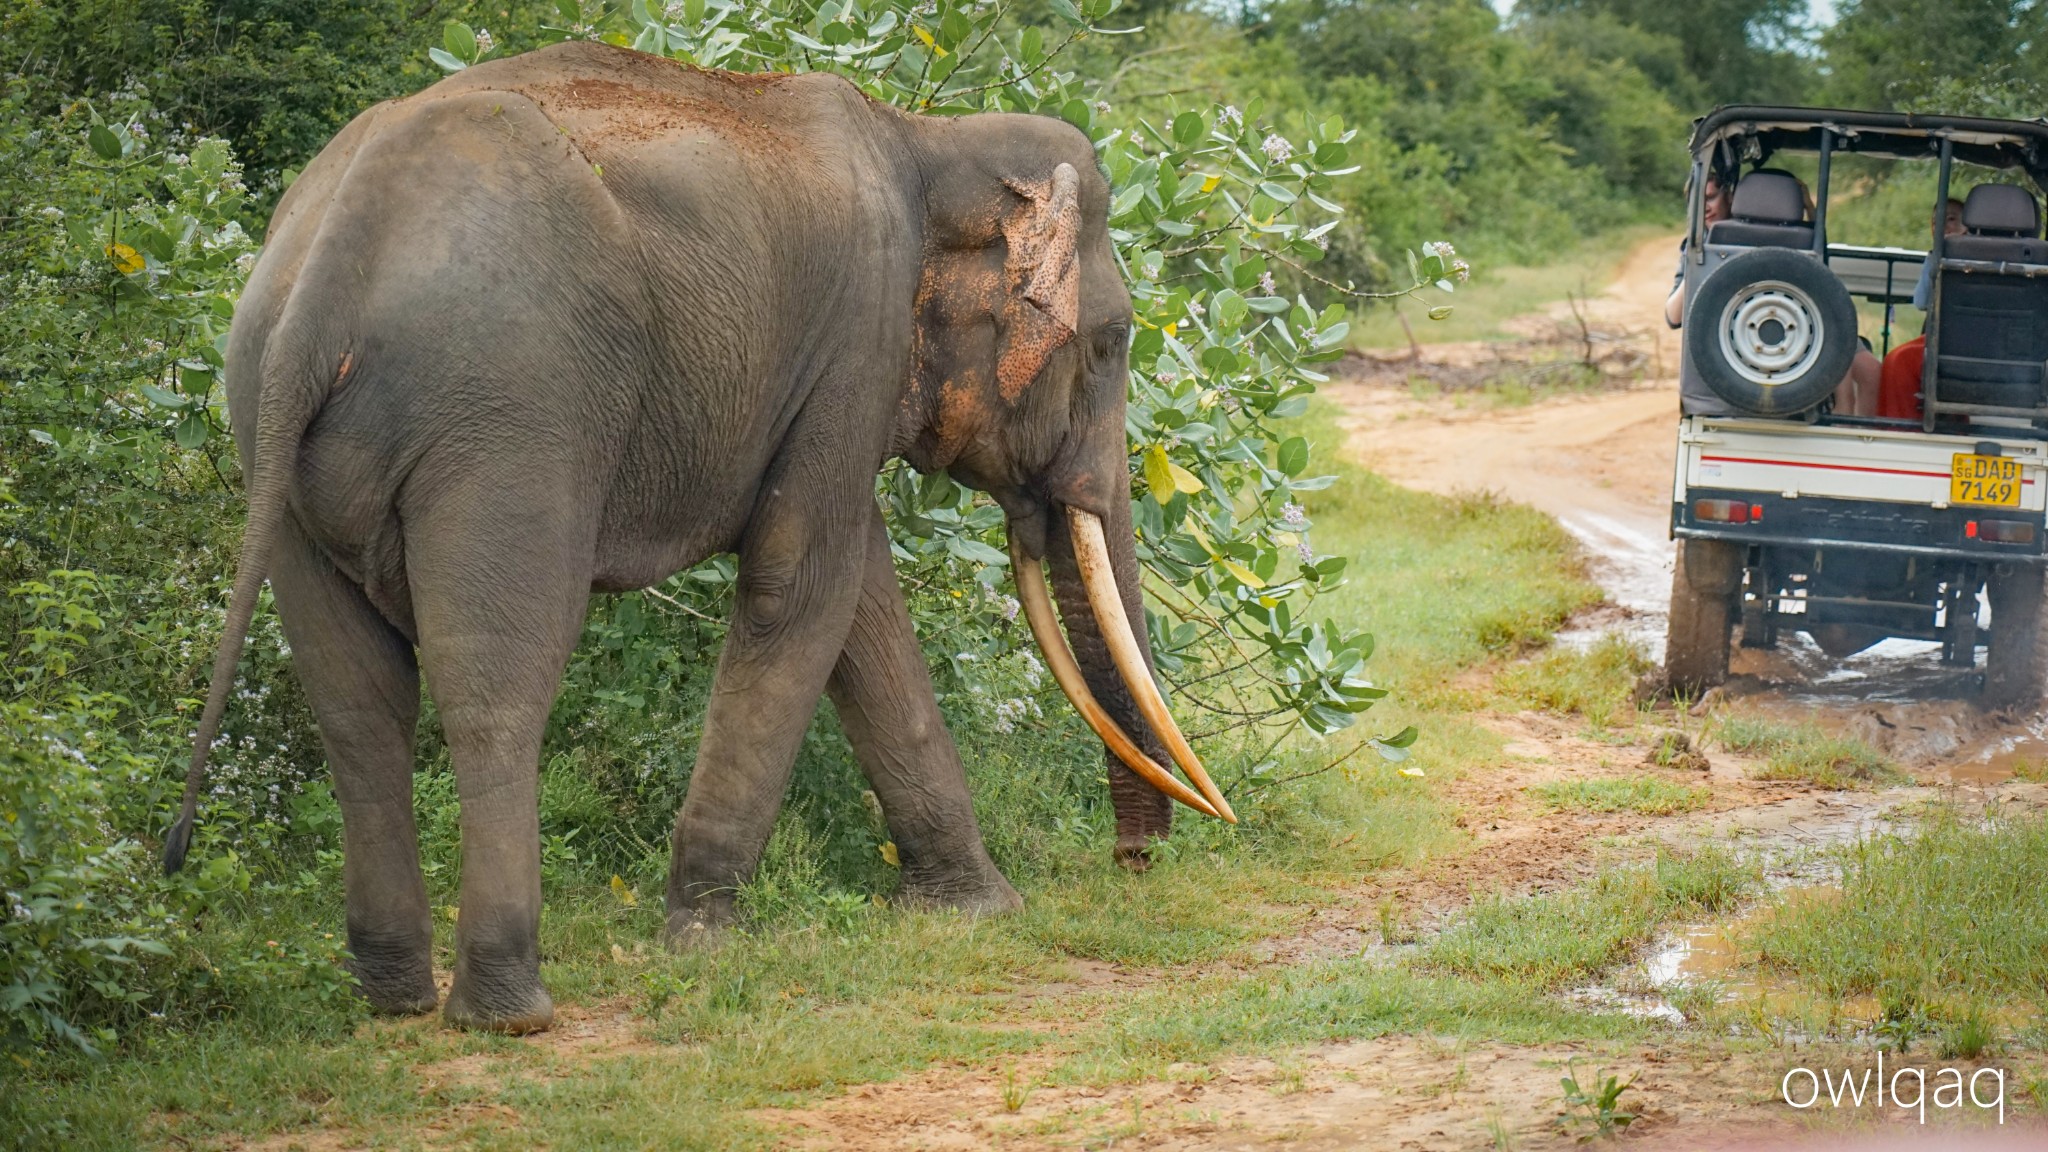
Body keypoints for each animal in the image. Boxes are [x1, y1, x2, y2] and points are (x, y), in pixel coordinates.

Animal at [159, 38, 1228, 1033]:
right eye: (1111, 345)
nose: (1134, 860)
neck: (930, 140)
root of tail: (330, 265)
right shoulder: (860, 333)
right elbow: (803, 581)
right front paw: (706, 937)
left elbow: (858, 598)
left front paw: (980, 912)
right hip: (510, 424)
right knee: (497, 684)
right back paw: (509, 1009)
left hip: (276, 448)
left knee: (355, 702)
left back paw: (394, 996)